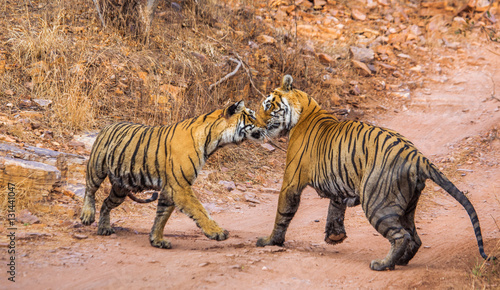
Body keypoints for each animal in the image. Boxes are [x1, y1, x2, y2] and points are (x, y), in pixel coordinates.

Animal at [80, 101, 264, 248]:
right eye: (252, 116)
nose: (266, 126)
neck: (214, 141)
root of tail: (108, 125)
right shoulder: (180, 186)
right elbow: (199, 210)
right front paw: (217, 232)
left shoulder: (170, 188)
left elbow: (162, 216)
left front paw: (157, 240)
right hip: (97, 168)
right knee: (89, 189)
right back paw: (87, 215)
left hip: (121, 188)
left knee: (106, 203)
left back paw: (104, 228)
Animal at [256, 74, 494, 270]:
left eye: (268, 106)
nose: (255, 122)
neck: (305, 108)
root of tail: (417, 155)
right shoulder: (337, 184)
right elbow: (335, 209)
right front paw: (335, 236)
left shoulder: (291, 182)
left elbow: (282, 214)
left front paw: (270, 241)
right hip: (407, 205)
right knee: (414, 237)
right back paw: (401, 261)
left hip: (377, 203)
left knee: (401, 236)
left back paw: (383, 264)